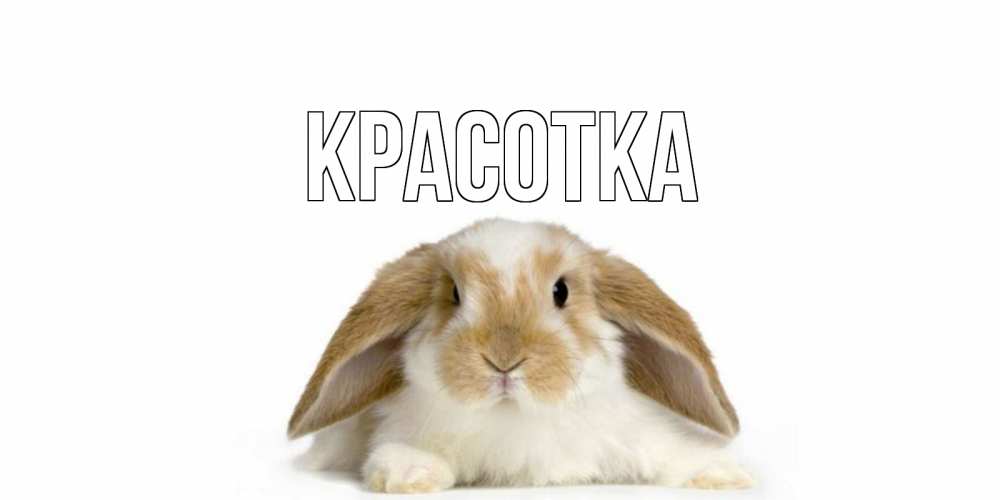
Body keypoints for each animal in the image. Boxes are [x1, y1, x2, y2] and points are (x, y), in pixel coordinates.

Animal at [288, 219, 752, 493]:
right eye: (454, 293)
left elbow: (670, 451)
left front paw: (724, 474)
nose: (504, 359)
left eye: (561, 291)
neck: (514, 417)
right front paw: (409, 474)